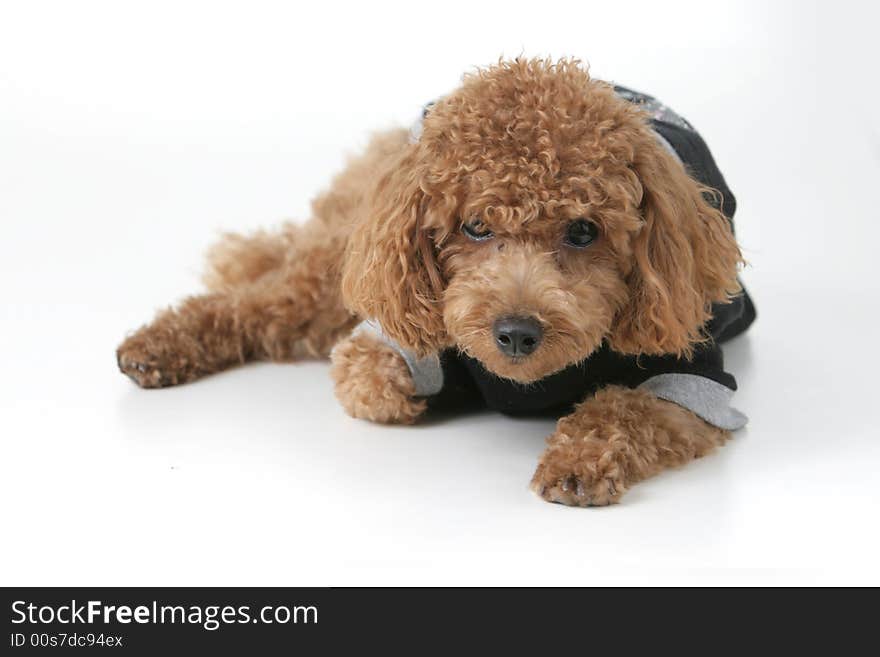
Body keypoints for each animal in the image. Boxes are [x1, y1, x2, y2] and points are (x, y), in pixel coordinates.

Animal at [117, 59, 752, 504]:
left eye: (582, 231)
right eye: (474, 226)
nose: (516, 332)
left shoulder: (691, 382)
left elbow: (622, 408)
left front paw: (577, 460)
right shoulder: (391, 338)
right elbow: (371, 379)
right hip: (336, 262)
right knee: (267, 298)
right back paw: (155, 347)